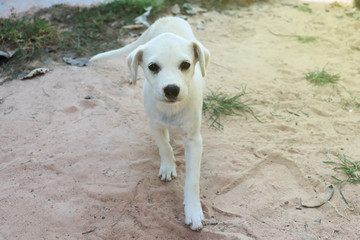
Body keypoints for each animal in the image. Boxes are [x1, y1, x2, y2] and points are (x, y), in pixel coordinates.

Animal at [90, 16, 211, 231]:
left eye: (186, 64)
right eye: (153, 67)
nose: (171, 89)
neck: (171, 110)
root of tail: (167, 17)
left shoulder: (194, 140)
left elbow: (192, 180)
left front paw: (193, 211)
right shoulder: (154, 124)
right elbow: (164, 146)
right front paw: (168, 166)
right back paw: (132, 76)